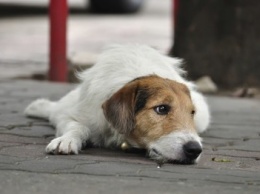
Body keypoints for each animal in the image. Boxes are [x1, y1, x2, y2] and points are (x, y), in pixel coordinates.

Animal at [25, 44, 210, 164]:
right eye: (162, 108)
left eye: (191, 113)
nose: (195, 149)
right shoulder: (77, 115)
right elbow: (77, 126)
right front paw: (67, 140)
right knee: (56, 109)